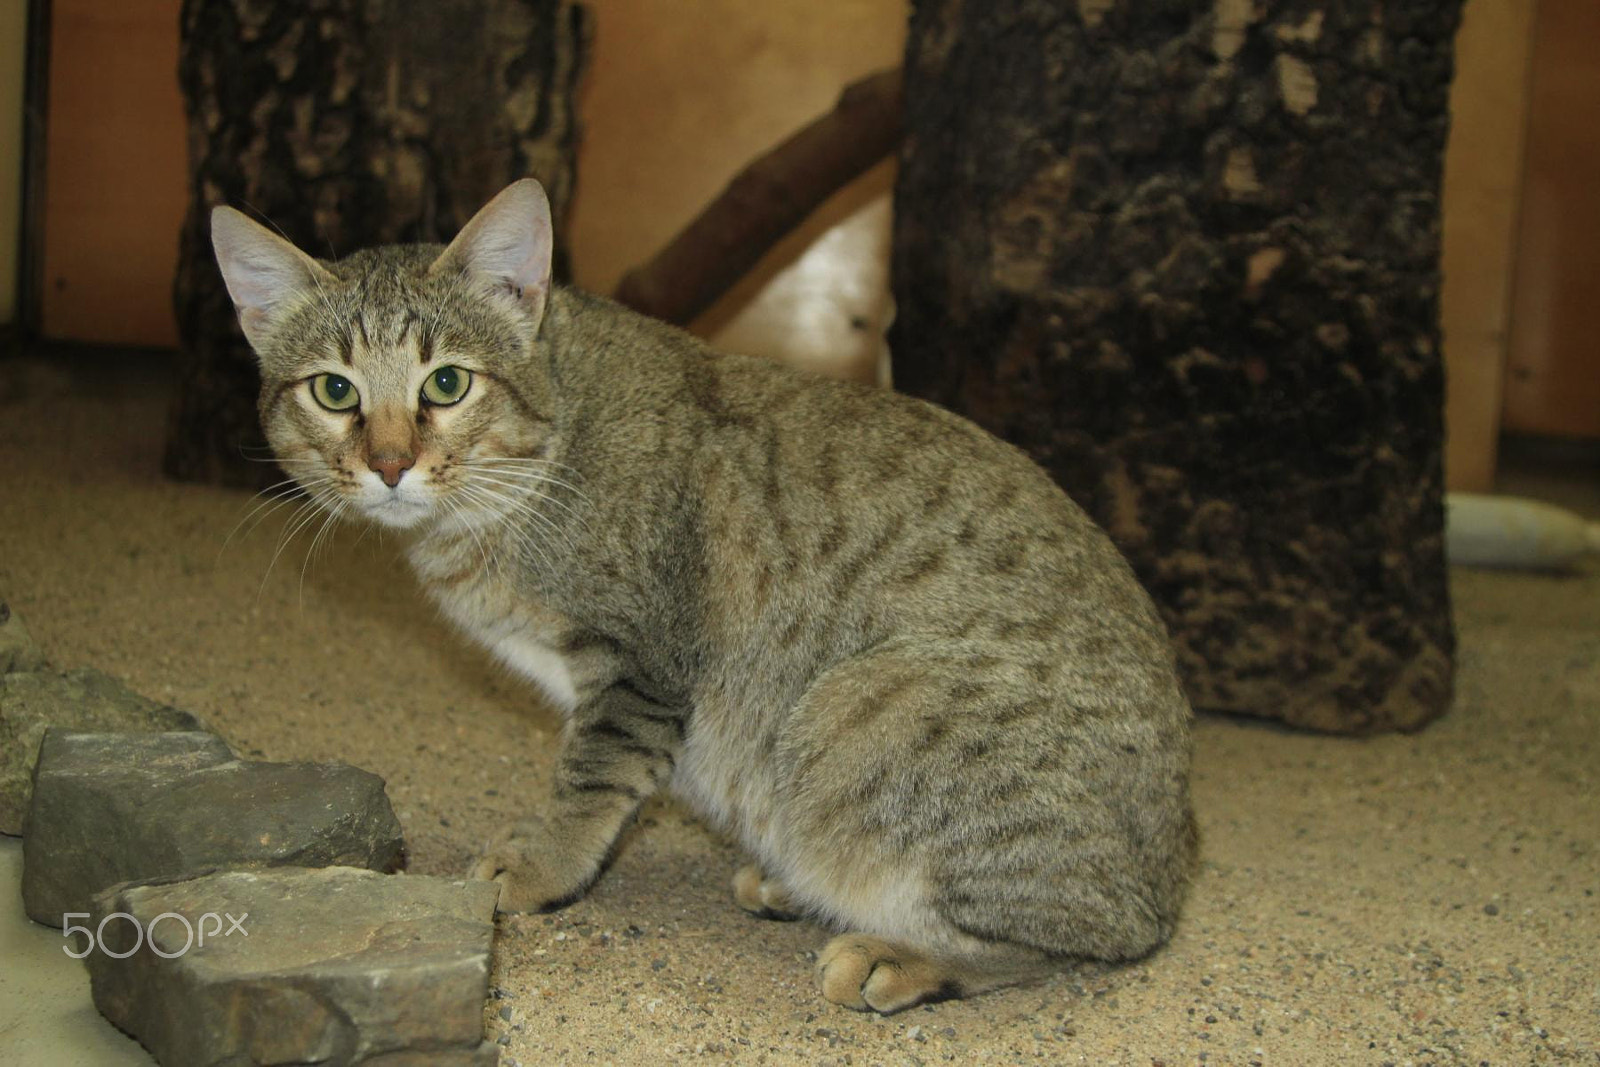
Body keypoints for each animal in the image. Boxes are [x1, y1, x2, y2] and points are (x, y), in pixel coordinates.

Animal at [209, 179, 1190, 1017]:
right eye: (334, 390)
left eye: (446, 382)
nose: (389, 462)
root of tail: (1176, 876)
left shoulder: (638, 665)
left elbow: (589, 780)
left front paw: (537, 867)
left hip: (856, 707)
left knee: (1088, 937)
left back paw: (902, 953)